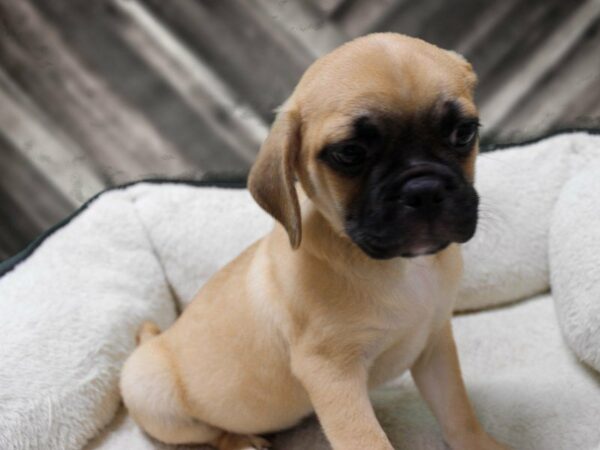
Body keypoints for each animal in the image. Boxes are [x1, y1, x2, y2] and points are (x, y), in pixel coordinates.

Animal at [119, 32, 508, 450]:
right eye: (350, 153)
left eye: (463, 132)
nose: (424, 190)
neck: (402, 267)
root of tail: (152, 343)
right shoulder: (332, 373)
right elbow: (367, 439)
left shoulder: (434, 344)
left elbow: (457, 412)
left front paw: (482, 444)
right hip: (157, 399)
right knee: (209, 433)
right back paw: (242, 441)